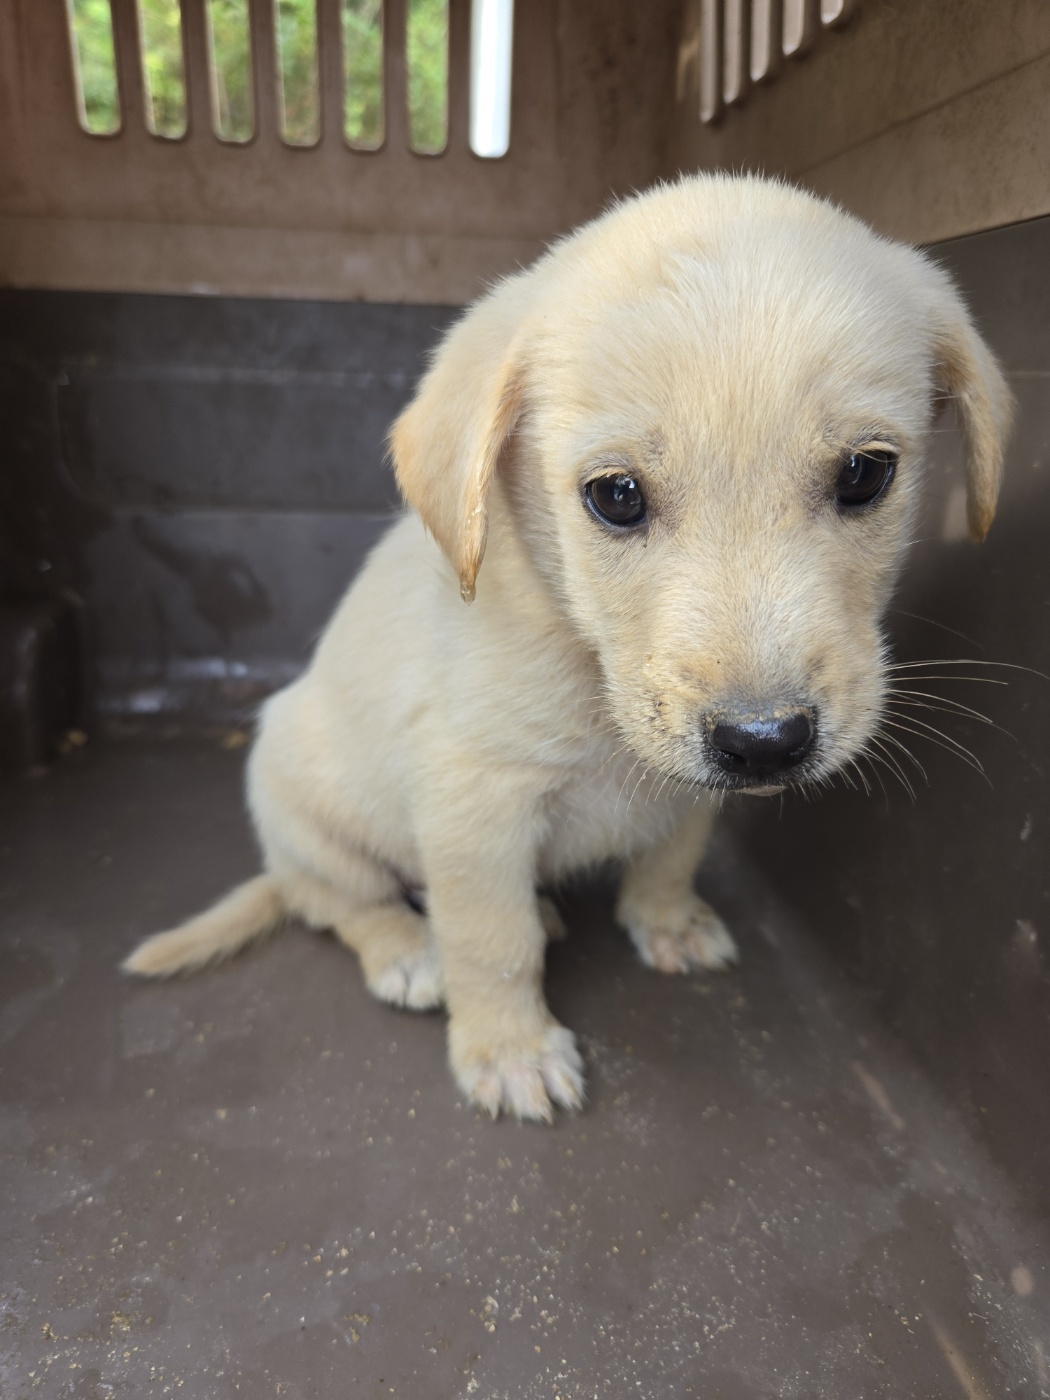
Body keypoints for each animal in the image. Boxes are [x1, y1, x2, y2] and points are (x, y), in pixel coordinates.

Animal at [121, 175, 1013, 1120]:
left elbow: (672, 854)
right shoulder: (473, 802)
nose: (766, 744)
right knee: (337, 901)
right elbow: (490, 938)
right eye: (615, 496)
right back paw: (407, 950)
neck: (584, 658)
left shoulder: (687, 794)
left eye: (864, 475)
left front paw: (665, 920)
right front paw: (507, 1048)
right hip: (301, 807)